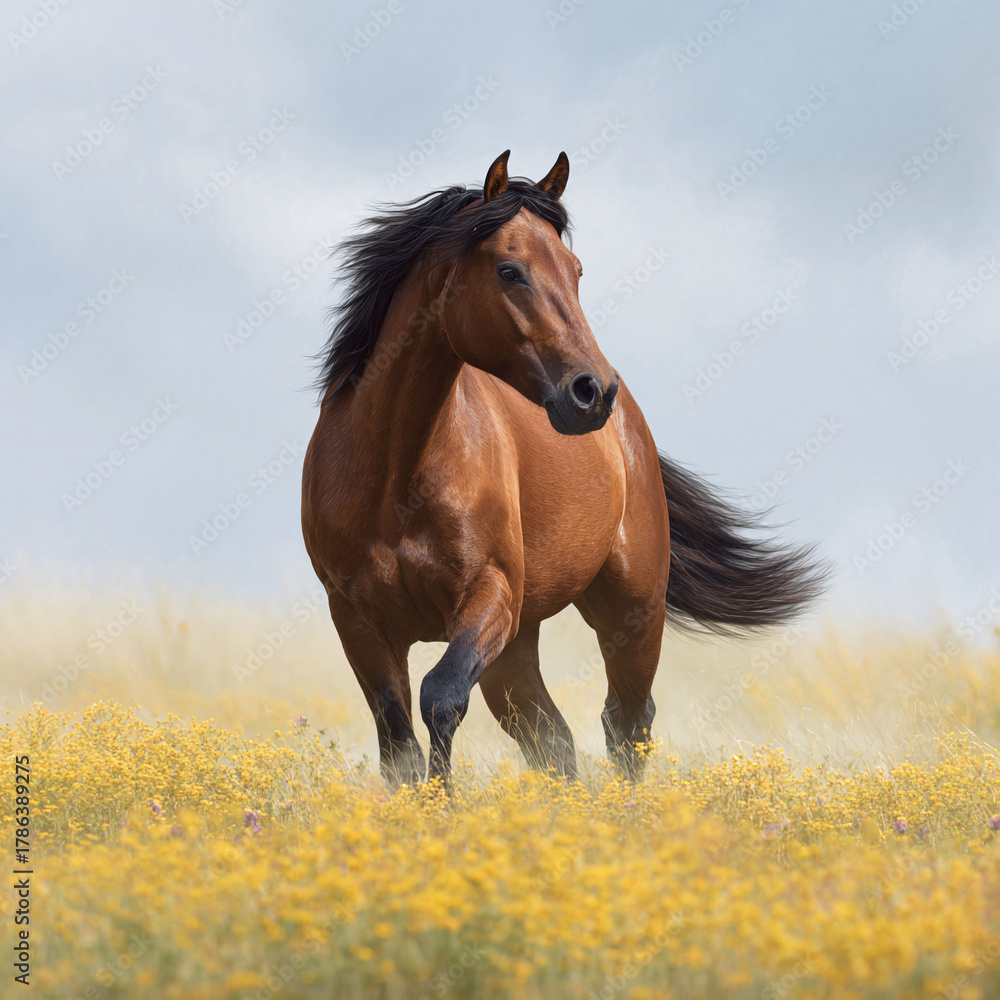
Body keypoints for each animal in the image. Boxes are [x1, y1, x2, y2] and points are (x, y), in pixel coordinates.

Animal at [301, 150, 825, 787]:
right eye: (509, 270)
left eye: (576, 270)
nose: (592, 392)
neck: (395, 477)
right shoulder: (358, 620)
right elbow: (398, 745)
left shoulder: (490, 595)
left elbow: (441, 697)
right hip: (517, 647)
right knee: (553, 739)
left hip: (629, 614)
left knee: (625, 724)